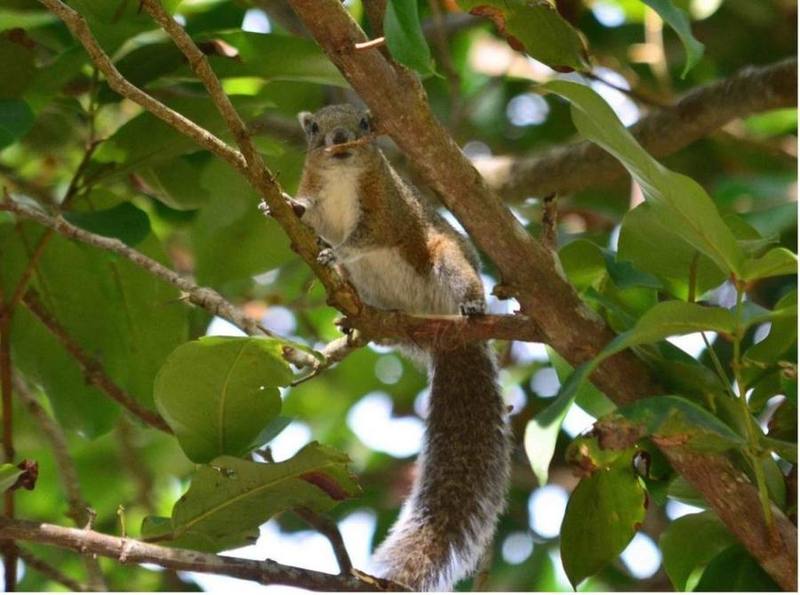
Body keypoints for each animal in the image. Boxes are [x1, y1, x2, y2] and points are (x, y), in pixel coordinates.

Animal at [289, 104, 511, 591]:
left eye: (365, 124)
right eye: (315, 129)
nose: (340, 138)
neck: (342, 177)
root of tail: (446, 335)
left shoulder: (385, 207)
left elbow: (367, 236)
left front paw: (336, 252)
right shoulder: (314, 195)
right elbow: (307, 217)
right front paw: (288, 208)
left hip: (446, 259)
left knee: (458, 278)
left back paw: (471, 305)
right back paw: (359, 322)